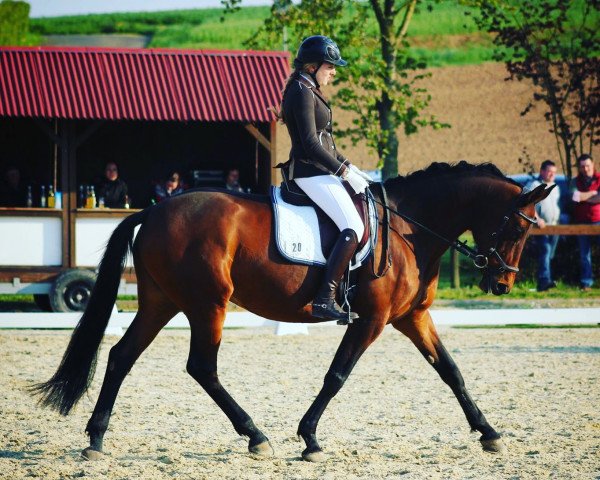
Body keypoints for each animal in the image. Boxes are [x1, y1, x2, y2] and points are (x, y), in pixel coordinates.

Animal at [31, 161, 552, 462]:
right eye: (518, 229)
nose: (503, 284)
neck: (410, 228)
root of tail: (154, 210)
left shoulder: (412, 318)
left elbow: (451, 371)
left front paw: (489, 432)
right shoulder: (373, 320)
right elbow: (336, 375)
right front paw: (310, 439)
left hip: (163, 301)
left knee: (122, 356)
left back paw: (96, 439)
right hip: (207, 303)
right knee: (201, 367)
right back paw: (255, 436)